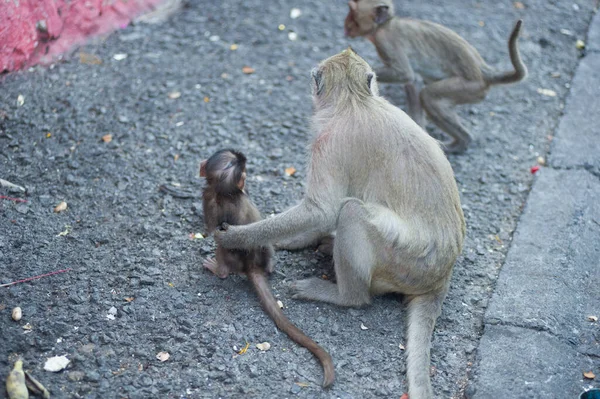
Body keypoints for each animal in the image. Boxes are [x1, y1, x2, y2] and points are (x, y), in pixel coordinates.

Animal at [216, 50, 464, 399]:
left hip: (404, 261)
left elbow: (322, 209)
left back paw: (345, 296)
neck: (355, 101)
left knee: (351, 213)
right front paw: (293, 239)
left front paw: (236, 238)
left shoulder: (328, 141)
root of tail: (441, 275)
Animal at [344, 0, 528, 153]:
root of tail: (483, 70)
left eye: (352, 12)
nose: (346, 24)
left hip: (472, 87)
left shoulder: (387, 41)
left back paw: (461, 142)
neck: (386, 25)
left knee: (429, 96)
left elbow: (405, 73)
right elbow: (413, 81)